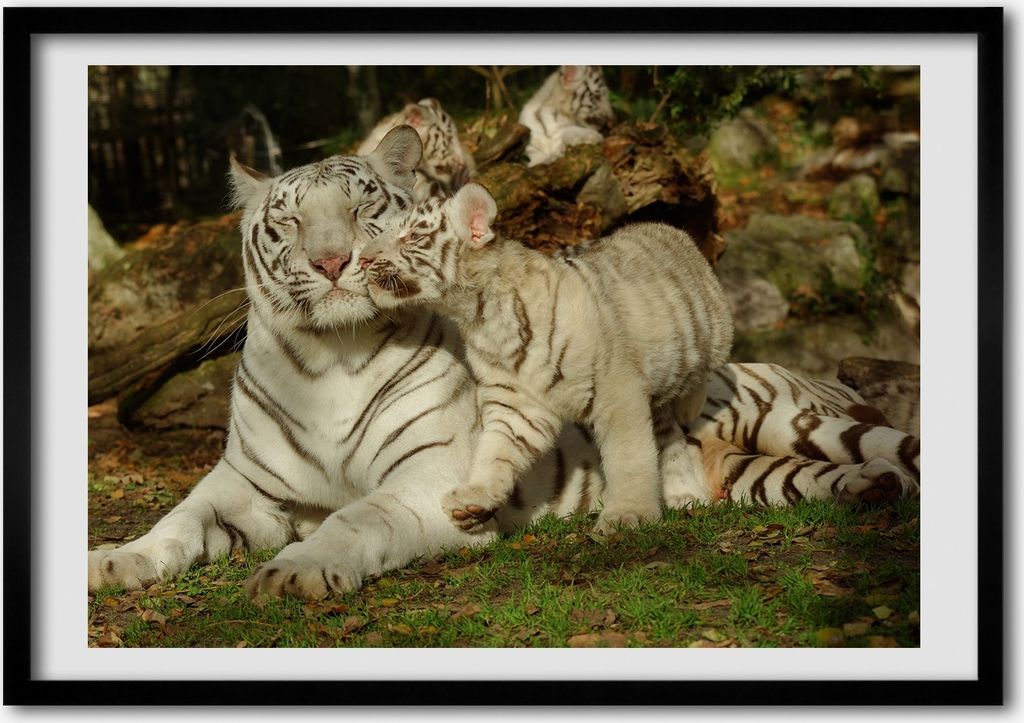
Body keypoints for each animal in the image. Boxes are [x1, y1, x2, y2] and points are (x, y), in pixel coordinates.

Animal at [360, 183, 733, 534]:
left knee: (701, 374)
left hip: (714, 328)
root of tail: (665, 227)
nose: (362, 258)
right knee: (668, 435)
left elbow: (628, 456)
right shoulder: (516, 403)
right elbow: (496, 451)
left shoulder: (618, 392)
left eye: (412, 236)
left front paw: (628, 515)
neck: (480, 316)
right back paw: (684, 494)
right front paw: (474, 498)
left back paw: (690, 407)